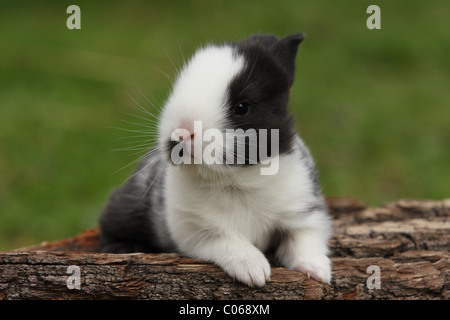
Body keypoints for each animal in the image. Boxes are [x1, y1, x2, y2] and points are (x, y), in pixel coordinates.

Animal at [100, 32, 332, 286]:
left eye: (242, 107)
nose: (181, 132)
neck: (237, 180)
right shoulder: (195, 230)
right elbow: (228, 241)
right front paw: (254, 271)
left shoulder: (305, 212)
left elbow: (303, 240)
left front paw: (318, 271)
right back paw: (123, 248)